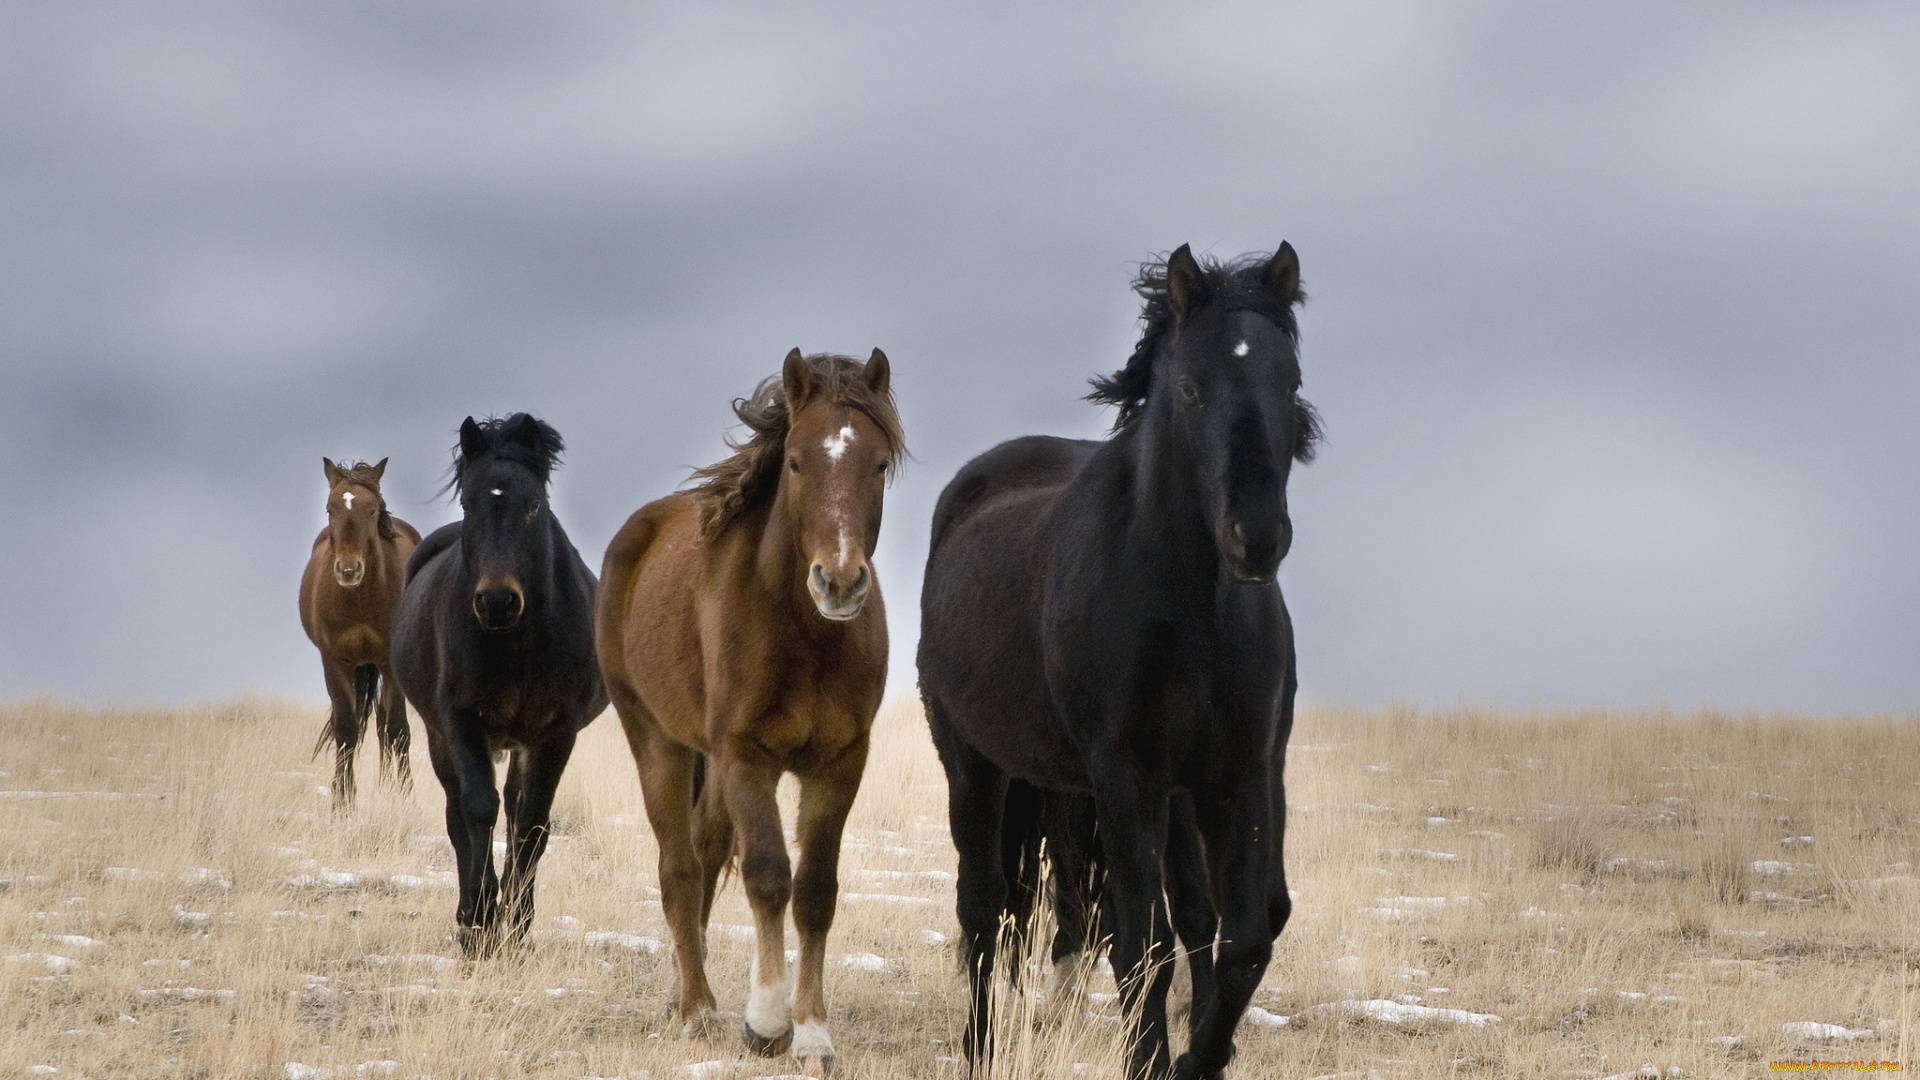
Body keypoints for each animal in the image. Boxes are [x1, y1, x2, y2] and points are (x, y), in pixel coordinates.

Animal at [297, 455, 422, 807]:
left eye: (372, 510)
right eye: (330, 509)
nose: (349, 570)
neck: (361, 599)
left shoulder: (390, 663)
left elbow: (397, 729)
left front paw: (405, 796)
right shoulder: (335, 661)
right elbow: (346, 730)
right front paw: (342, 800)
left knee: (385, 725)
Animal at [385, 411, 602, 949]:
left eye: (534, 505)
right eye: (469, 502)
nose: (497, 602)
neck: (517, 644)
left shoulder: (555, 731)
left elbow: (532, 823)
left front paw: (519, 926)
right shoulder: (462, 721)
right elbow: (476, 809)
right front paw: (481, 920)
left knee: (514, 808)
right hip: (439, 736)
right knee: (456, 813)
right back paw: (470, 916)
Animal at [595, 345, 902, 1068]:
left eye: (878, 463)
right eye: (794, 460)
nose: (839, 582)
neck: (805, 634)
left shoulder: (840, 764)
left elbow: (815, 890)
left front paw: (813, 1034)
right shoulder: (746, 757)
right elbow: (767, 874)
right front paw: (765, 1024)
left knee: (705, 853)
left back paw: (686, 988)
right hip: (656, 739)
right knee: (679, 867)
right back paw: (697, 1008)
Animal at [917, 244, 1320, 1076]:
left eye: (1290, 381)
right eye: (1191, 387)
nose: (1257, 537)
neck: (1190, 610)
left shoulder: (1238, 772)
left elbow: (1242, 937)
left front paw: (1200, 1058)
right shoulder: (1127, 776)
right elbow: (1143, 944)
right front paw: (1153, 1061)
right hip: (975, 765)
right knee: (984, 905)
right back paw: (980, 1045)